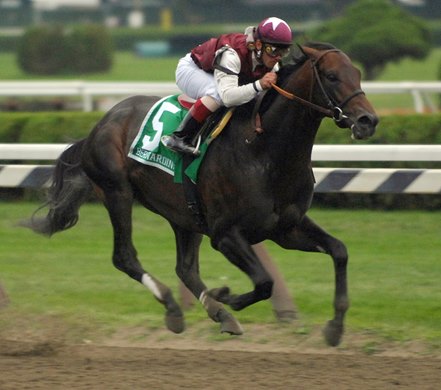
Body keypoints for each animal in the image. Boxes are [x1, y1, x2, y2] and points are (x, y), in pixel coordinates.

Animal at [25, 43, 378, 348]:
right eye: (331, 76)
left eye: (358, 73)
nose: (368, 120)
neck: (264, 151)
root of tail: (101, 123)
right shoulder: (225, 234)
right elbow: (264, 282)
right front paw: (228, 296)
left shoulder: (286, 228)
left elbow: (339, 251)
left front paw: (335, 327)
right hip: (117, 192)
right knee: (124, 256)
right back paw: (175, 306)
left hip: (183, 213)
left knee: (185, 269)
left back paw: (216, 312)